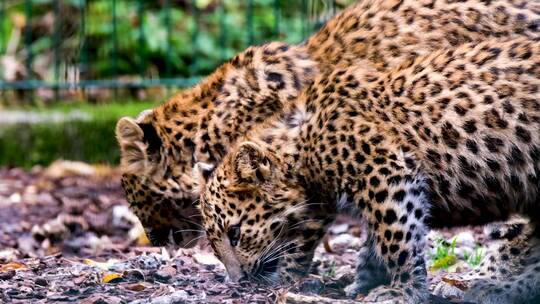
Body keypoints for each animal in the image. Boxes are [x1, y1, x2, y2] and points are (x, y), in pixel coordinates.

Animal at [198, 38, 540, 304]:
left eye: (235, 233)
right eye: (214, 243)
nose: (237, 282)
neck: (303, 145)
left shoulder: (388, 174)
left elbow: (397, 238)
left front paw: (403, 290)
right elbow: (376, 240)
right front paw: (364, 280)